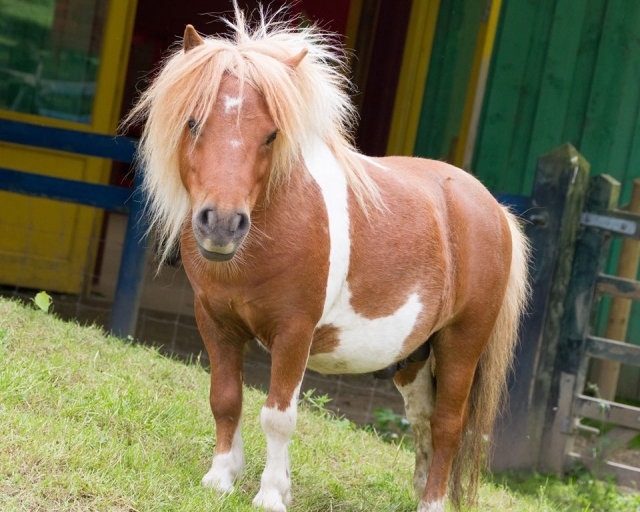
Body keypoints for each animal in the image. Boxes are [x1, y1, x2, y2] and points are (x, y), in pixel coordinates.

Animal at [125, 5, 530, 511]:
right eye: (193, 123)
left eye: (271, 135)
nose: (221, 224)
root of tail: (494, 209)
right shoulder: (215, 322)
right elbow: (225, 397)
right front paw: (221, 478)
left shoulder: (294, 333)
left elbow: (278, 415)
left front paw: (270, 494)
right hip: (415, 355)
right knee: (423, 421)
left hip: (462, 344)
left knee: (448, 426)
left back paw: (432, 501)